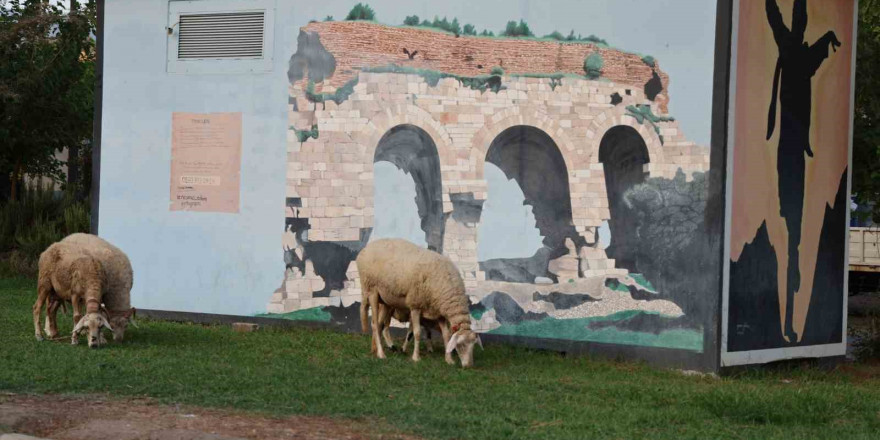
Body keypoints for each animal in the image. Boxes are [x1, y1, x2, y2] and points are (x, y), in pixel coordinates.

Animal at [356, 239, 484, 366]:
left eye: (473, 345)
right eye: (460, 345)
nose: (468, 366)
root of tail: (364, 249)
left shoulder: (438, 313)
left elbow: (446, 335)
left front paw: (449, 360)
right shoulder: (415, 306)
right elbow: (416, 333)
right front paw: (416, 357)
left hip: (386, 301)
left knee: (379, 324)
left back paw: (374, 349)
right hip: (371, 290)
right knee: (374, 324)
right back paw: (381, 354)